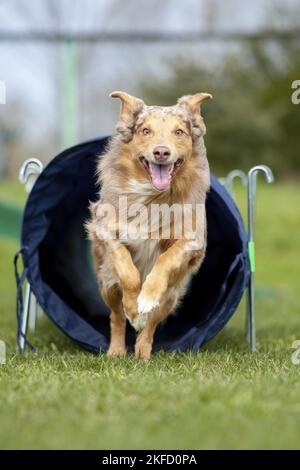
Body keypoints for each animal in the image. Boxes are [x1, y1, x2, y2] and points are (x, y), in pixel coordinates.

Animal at [86, 90, 212, 360]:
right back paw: (116, 349)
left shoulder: (193, 239)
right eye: (146, 131)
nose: (161, 153)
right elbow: (127, 269)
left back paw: (142, 352)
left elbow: (166, 259)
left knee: (152, 323)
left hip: (172, 295)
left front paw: (146, 298)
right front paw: (134, 306)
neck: (154, 198)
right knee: (116, 316)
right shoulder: (106, 229)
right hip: (107, 283)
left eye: (179, 132)